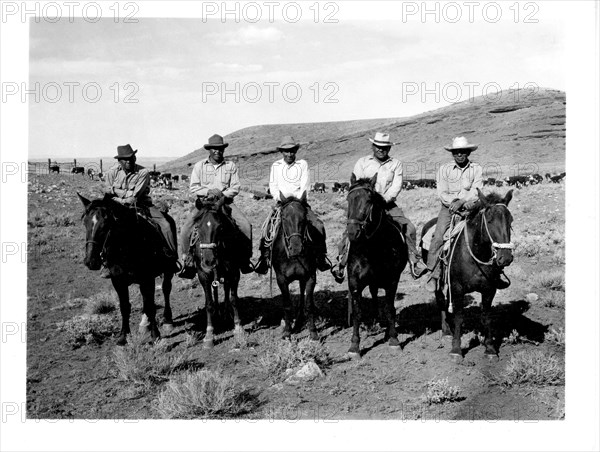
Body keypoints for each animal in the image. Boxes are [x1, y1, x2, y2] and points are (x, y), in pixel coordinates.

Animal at [78, 192, 175, 344]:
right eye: (85, 223)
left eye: (105, 224)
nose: (90, 261)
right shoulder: (118, 281)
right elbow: (124, 307)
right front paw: (123, 336)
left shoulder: (148, 278)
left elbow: (151, 306)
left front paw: (155, 335)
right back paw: (144, 325)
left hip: (168, 270)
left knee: (166, 289)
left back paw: (167, 321)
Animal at [189, 196, 243, 348]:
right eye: (198, 227)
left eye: (220, 227)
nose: (208, 261)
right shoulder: (203, 275)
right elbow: (209, 303)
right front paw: (209, 336)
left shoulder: (234, 272)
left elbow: (234, 299)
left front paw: (238, 329)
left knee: (226, 290)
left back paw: (225, 313)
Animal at [270, 190, 318, 340]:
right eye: (284, 218)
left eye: (304, 218)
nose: (296, 248)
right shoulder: (281, 280)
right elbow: (287, 305)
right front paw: (287, 331)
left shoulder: (310, 277)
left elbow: (309, 304)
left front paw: (313, 331)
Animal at [344, 173, 410, 356]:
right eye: (348, 199)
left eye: (368, 200)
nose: (352, 232)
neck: (372, 248)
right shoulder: (354, 282)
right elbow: (357, 312)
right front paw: (354, 346)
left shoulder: (392, 281)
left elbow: (390, 308)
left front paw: (394, 339)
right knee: (374, 295)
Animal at [422, 189, 516, 362]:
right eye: (489, 221)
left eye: (510, 220)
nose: (505, 257)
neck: (475, 254)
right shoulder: (457, 288)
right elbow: (459, 316)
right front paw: (456, 350)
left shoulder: (489, 290)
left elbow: (486, 316)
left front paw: (490, 349)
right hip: (439, 281)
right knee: (440, 300)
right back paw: (446, 331)